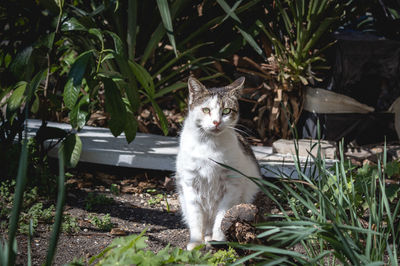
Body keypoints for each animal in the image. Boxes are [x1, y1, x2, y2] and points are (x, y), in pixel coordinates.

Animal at [177, 76, 260, 249]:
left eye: (226, 111)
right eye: (206, 110)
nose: (216, 122)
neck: (209, 145)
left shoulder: (231, 185)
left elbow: (222, 216)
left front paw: (218, 239)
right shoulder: (189, 184)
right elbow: (195, 217)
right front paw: (195, 242)